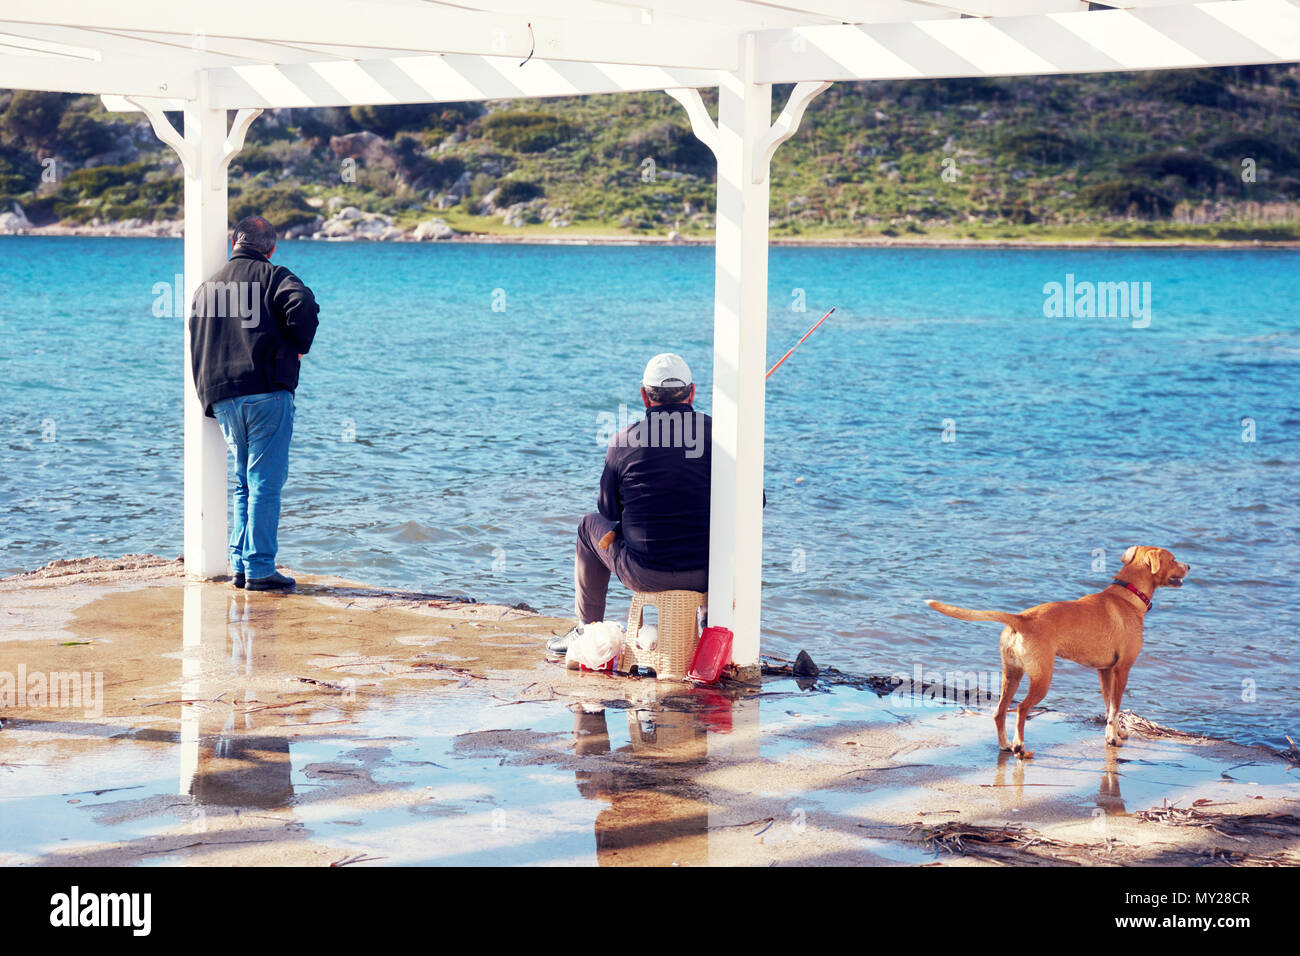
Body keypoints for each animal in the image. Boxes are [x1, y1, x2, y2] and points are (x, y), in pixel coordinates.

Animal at [925, 546, 1190, 764]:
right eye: (1173, 559)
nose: (1189, 566)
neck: (1128, 595)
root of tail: (1020, 619)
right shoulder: (1122, 670)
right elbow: (1115, 708)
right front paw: (1114, 739)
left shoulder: (1104, 671)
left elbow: (1108, 708)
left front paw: (1114, 733)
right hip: (1042, 679)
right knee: (1021, 710)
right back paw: (1020, 748)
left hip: (1012, 674)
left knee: (999, 712)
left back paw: (1006, 745)